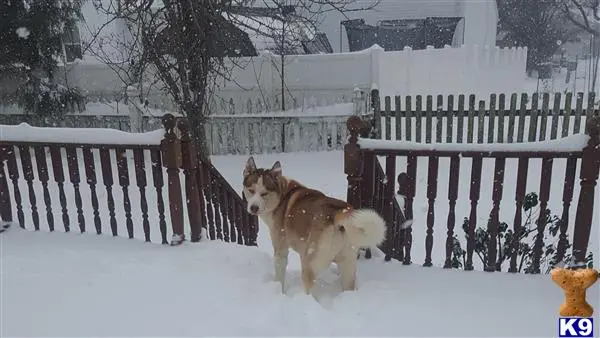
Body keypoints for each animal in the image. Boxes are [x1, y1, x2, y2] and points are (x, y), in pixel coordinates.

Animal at [244, 157, 390, 294]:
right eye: (251, 190)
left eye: (264, 193)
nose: (253, 208)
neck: (281, 196)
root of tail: (339, 211)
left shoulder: (281, 250)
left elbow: (279, 277)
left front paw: (279, 291)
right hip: (348, 265)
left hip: (309, 264)